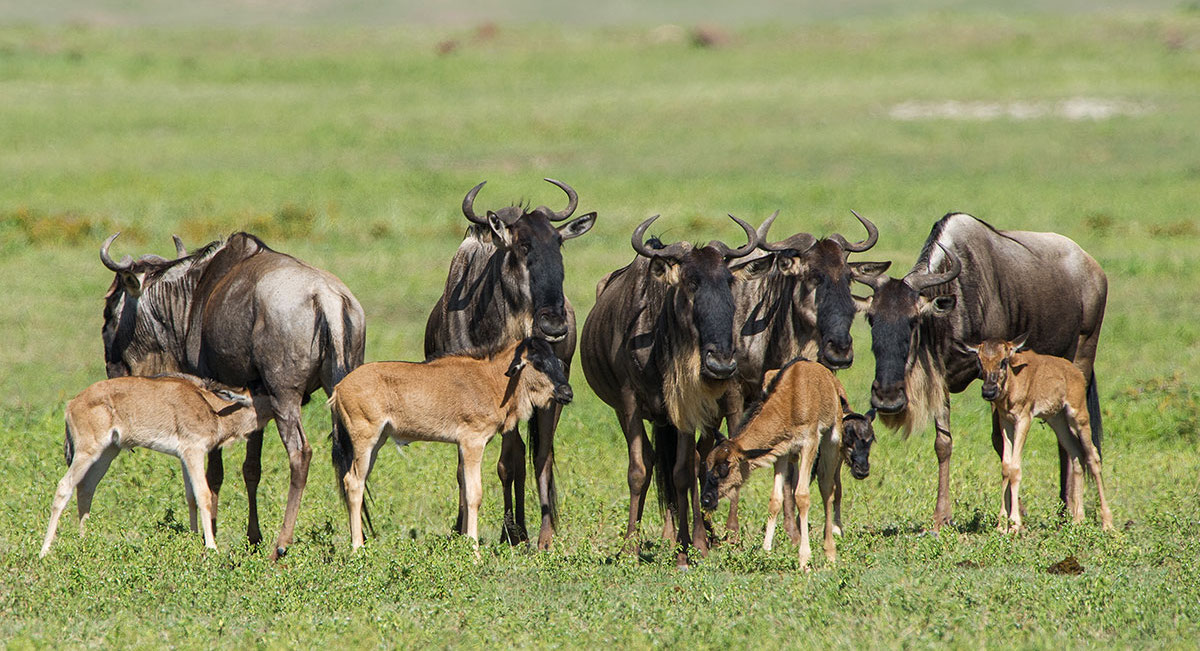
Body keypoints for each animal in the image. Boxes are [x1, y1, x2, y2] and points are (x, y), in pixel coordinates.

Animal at [39, 374, 272, 559]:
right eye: (265, 392)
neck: (211, 407)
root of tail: (71, 404)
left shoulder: (184, 456)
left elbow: (190, 497)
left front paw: (193, 538)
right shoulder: (194, 451)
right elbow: (203, 494)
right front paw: (211, 547)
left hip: (107, 452)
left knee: (86, 488)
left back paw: (85, 541)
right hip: (87, 451)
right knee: (64, 486)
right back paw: (45, 551)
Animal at [328, 338, 571, 554]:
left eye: (557, 361)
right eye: (538, 363)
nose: (567, 393)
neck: (493, 379)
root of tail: (339, 388)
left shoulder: (463, 445)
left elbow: (464, 490)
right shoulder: (473, 442)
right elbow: (474, 494)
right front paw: (474, 552)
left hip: (377, 442)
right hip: (364, 439)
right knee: (354, 483)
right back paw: (358, 549)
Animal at [969, 338, 1108, 533]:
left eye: (1003, 361)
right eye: (980, 361)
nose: (988, 391)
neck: (1015, 379)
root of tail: (1076, 372)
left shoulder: (1023, 419)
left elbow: (1015, 468)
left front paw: (1015, 524)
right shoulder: (1006, 422)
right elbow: (1005, 467)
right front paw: (1001, 525)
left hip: (1078, 415)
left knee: (1093, 457)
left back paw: (1107, 523)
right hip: (1057, 421)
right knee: (1076, 454)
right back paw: (1078, 520)